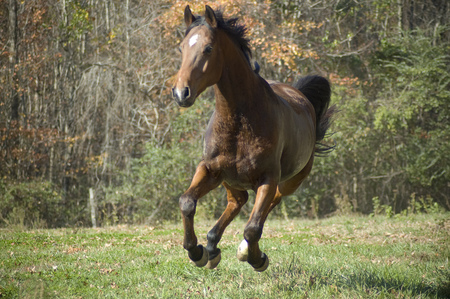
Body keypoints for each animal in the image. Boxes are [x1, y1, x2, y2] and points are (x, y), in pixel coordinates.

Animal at [171, 5, 334, 272]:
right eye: (182, 48)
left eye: (208, 48)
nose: (180, 93)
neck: (239, 121)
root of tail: (301, 95)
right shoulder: (210, 169)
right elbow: (187, 202)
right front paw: (196, 251)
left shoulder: (268, 177)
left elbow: (253, 227)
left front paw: (257, 258)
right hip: (230, 179)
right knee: (238, 200)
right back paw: (212, 246)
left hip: (291, 180)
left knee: (269, 202)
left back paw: (242, 249)